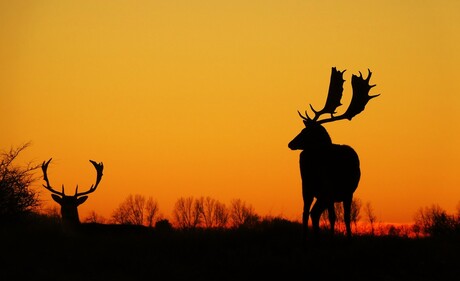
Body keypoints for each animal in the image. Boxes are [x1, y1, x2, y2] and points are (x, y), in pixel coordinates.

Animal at [288, 67, 380, 238]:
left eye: (306, 131)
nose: (290, 143)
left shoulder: (343, 192)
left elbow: (344, 217)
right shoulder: (335, 190)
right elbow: (336, 216)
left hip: (311, 188)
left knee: (310, 212)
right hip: (316, 189)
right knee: (311, 212)